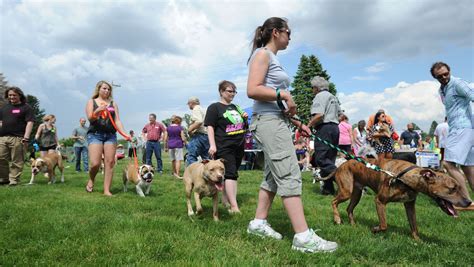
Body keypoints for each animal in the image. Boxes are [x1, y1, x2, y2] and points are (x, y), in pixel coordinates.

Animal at [322, 158, 470, 240]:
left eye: (458, 187)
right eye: (452, 189)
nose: (469, 202)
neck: (406, 178)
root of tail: (340, 166)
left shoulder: (410, 206)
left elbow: (414, 226)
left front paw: (418, 241)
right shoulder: (379, 201)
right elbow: (384, 225)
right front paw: (374, 230)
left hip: (356, 193)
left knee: (349, 208)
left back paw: (353, 224)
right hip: (346, 191)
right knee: (333, 202)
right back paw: (337, 219)